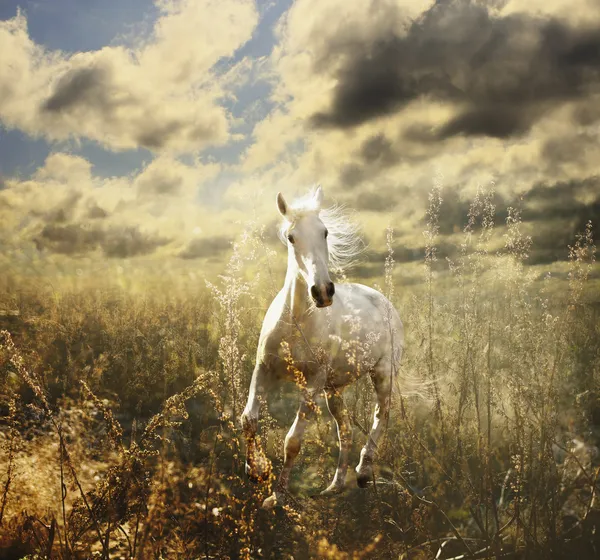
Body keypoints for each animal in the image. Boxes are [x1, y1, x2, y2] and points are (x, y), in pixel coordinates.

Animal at [241, 185, 406, 508]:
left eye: (325, 232)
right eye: (291, 237)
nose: (323, 292)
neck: (296, 322)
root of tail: (383, 300)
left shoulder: (312, 384)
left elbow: (292, 441)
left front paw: (277, 496)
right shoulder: (263, 369)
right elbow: (249, 419)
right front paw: (256, 470)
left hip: (382, 373)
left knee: (382, 415)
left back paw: (363, 473)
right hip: (334, 389)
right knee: (345, 430)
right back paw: (335, 486)